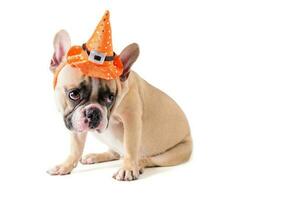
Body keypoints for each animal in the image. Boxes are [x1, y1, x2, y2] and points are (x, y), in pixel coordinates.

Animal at [47, 25, 192, 180]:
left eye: (110, 97)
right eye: (74, 94)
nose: (94, 112)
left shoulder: (131, 119)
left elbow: (130, 145)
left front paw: (128, 168)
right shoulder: (76, 123)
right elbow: (75, 148)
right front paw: (65, 165)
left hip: (173, 154)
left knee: (147, 159)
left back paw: (137, 164)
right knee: (115, 152)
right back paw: (96, 156)